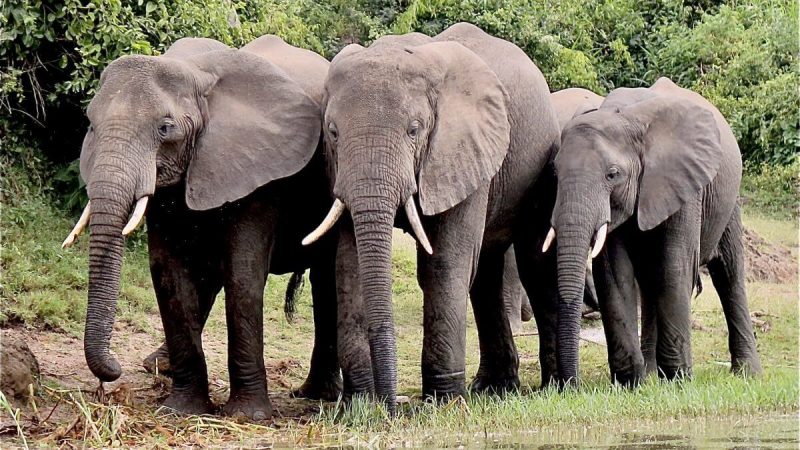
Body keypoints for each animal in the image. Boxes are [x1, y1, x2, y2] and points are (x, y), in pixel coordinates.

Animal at [62, 35, 342, 419]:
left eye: (166, 128)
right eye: (90, 124)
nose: (113, 371)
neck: (195, 74)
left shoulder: (257, 175)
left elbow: (242, 275)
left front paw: (247, 416)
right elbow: (168, 273)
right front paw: (181, 410)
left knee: (325, 279)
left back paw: (315, 394)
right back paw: (157, 367)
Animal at [302, 23, 562, 411]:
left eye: (414, 129)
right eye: (332, 132)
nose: (390, 406)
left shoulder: (461, 151)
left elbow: (443, 264)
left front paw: (443, 402)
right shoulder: (340, 170)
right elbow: (351, 264)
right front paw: (358, 405)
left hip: (538, 165)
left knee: (533, 263)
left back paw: (556, 387)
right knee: (485, 275)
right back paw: (495, 388)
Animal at [546, 77, 762, 386]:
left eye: (612, 174)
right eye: (555, 172)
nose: (569, 386)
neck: (628, 119)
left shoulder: (684, 182)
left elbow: (674, 265)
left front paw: (678, 379)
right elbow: (614, 273)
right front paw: (631, 383)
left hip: (727, 199)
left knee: (728, 273)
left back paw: (746, 374)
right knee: (649, 280)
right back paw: (649, 373)